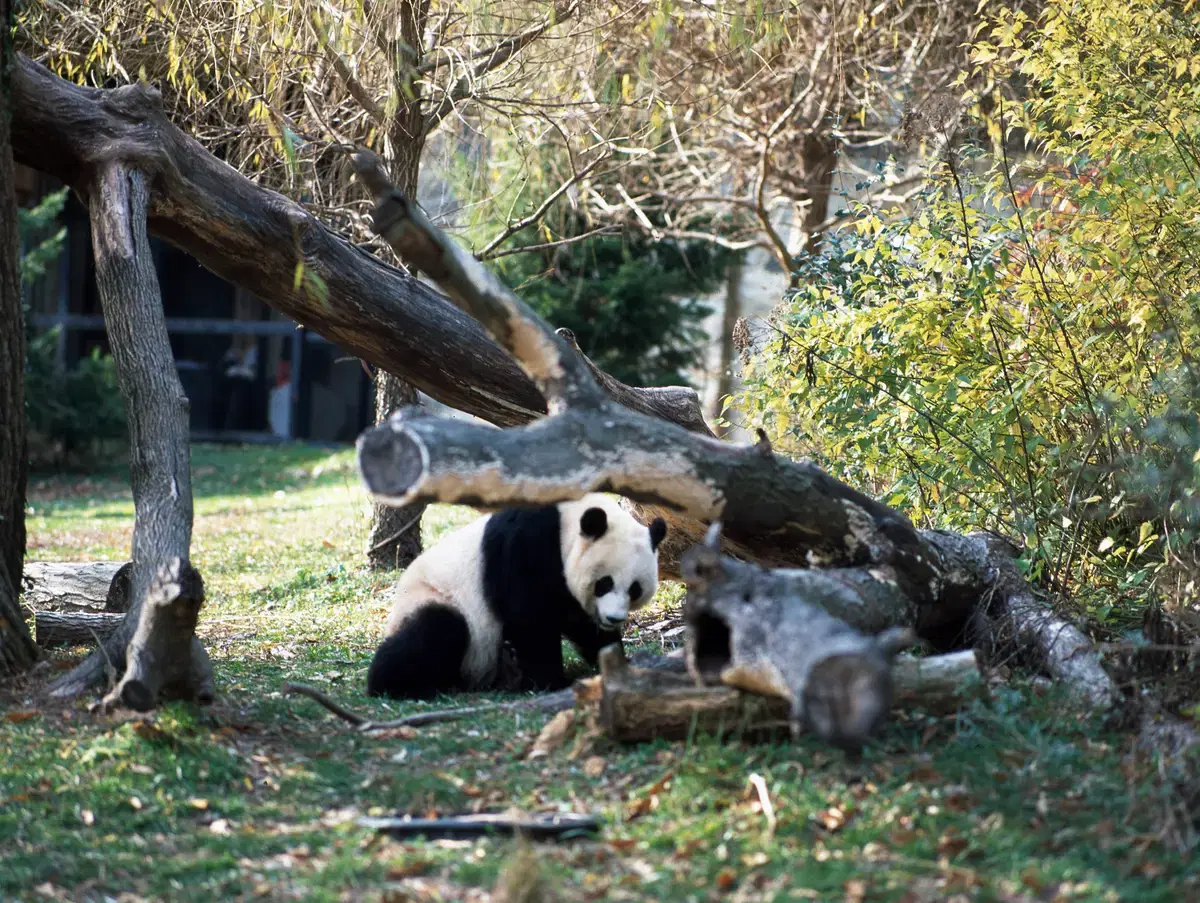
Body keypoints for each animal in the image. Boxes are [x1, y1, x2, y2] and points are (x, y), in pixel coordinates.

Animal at [366, 494, 668, 700]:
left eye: (634, 589)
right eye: (604, 583)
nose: (613, 618)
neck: (566, 522)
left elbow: (580, 623)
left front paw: (617, 662)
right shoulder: (527, 546)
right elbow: (529, 617)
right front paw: (551, 681)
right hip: (434, 597)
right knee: (436, 630)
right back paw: (397, 684)